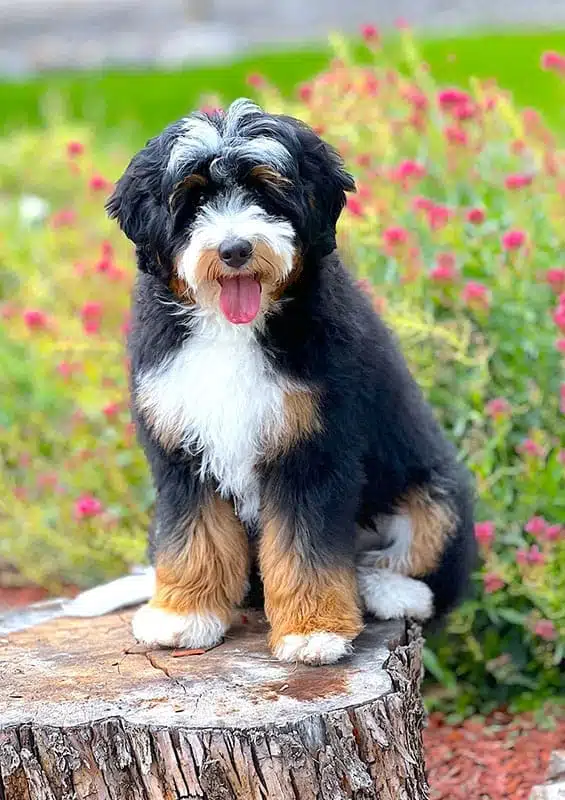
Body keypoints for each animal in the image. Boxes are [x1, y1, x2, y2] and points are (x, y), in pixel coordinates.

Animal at [71, 98, 476, 664]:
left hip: (437, 491)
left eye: (265, 192)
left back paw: (389, 590)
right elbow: (192, 534)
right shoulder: (181, 444)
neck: (230, 327)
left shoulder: (311, 444)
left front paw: (313, 631)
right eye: (193, 199)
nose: (235, 249)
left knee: (424, 564)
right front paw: (184, 614)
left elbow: (305, 545)